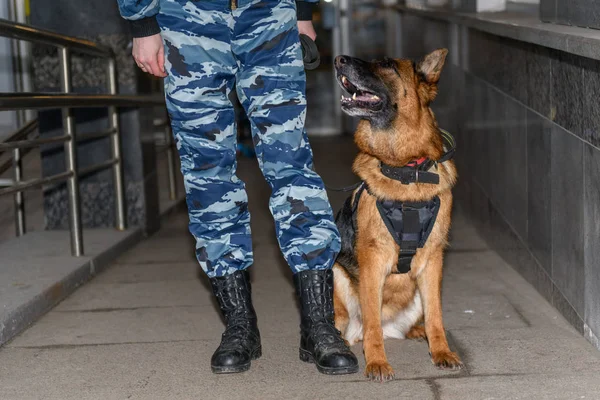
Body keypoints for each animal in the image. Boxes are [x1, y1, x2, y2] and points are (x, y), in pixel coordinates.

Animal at [330, 49, 462, 382]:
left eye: (387, 64)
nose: (338, 59)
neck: (406, 170)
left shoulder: (433, 261)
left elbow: (437, 316)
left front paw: (441, 351)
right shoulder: (373, 261)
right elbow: (373, 323)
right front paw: (377, 362)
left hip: (416, 292)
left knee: (412, 321)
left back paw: (418, 332)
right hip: (337, 275)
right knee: (359, 326)